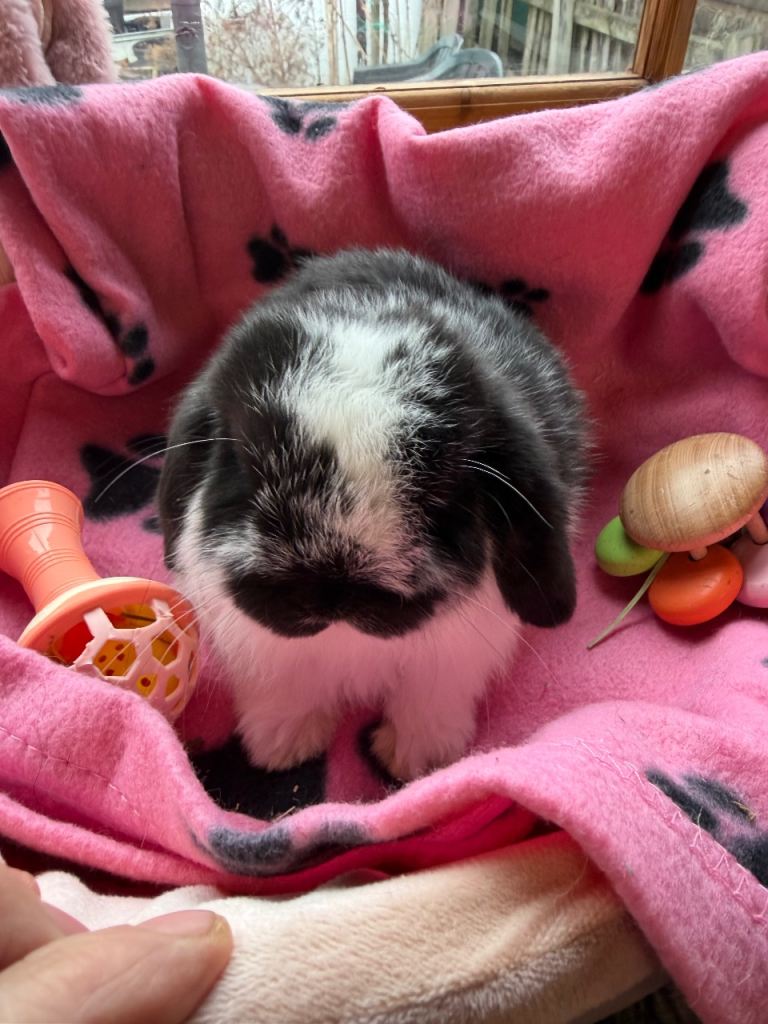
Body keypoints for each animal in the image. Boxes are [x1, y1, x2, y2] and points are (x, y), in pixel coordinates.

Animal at [157, 248, 588, 780]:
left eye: (439, 483)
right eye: (243, 461)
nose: (329, 592)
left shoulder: (452, 664)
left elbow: (428, 702)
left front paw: (415, 759)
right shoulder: (268, 657)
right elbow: (285, 694)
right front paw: (281, 747)